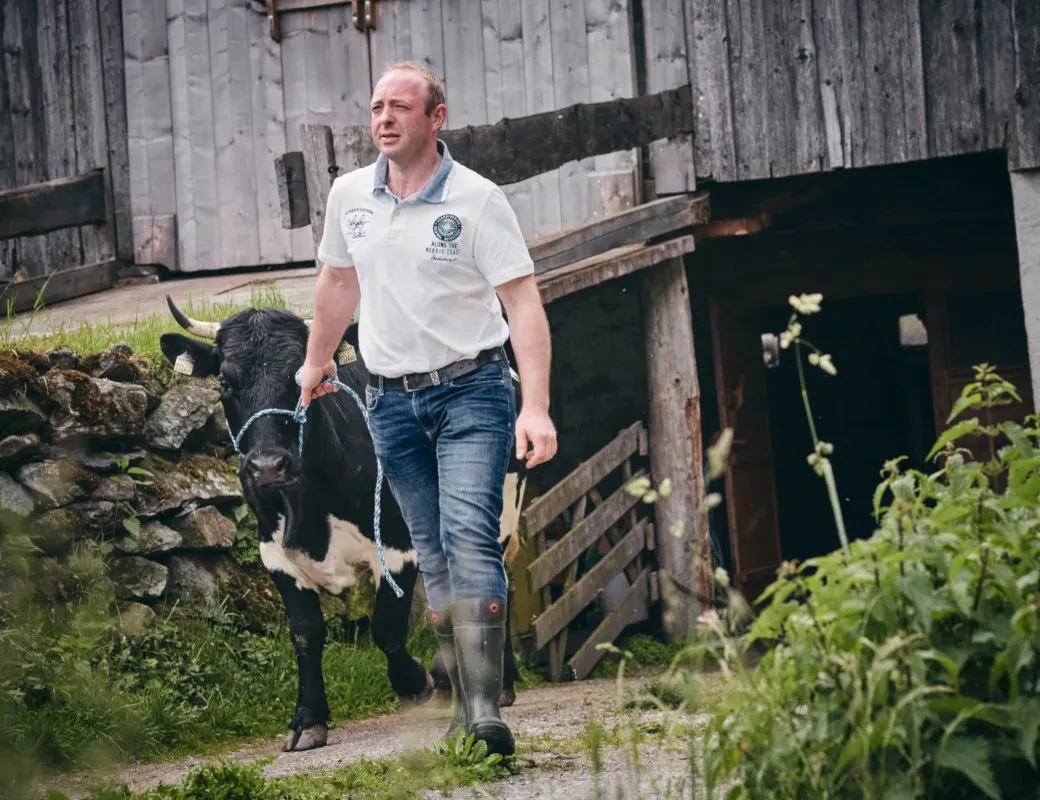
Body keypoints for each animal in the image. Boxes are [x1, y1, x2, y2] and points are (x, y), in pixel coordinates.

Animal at [161, 295, 524, 753]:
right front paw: (308, 719)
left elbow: (386, 627)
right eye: (225, 382)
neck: (309, 510)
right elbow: (305, 634)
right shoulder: (275, 554)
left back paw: (499, 683)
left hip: (499, 510)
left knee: (497, 583)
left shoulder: (398, 545)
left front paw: (415, 682)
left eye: (303, 378)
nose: (268, 466)